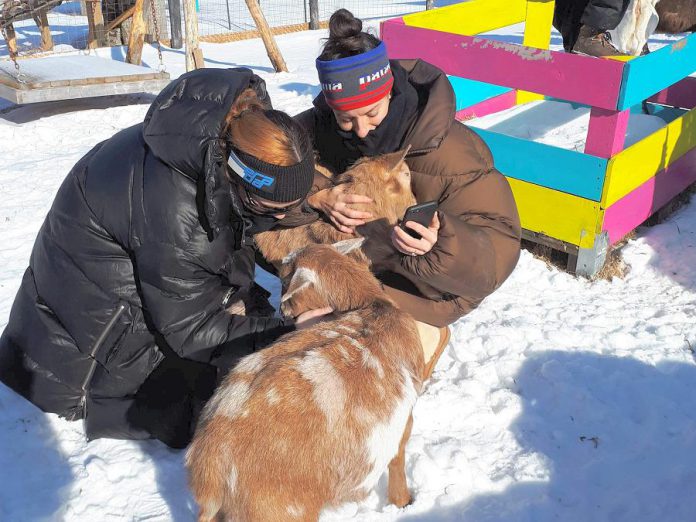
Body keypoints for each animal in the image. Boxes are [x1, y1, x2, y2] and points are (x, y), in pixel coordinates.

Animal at [186, 243, 424, 520]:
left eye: (285, 274)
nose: (283, 307)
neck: (375, 305)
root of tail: (210, 475)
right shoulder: (406, 416)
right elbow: (398, 456)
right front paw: (403, 502)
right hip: (281, 511)